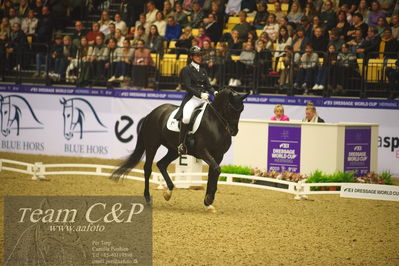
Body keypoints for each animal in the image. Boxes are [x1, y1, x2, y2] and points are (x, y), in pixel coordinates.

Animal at [112, 88, 248, 212]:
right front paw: (209, 199)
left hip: (173, 150)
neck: (215, 123)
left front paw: (208, 203)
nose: (233, 131)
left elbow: (213, 172)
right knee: (148, 169)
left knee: (161, 164)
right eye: (230, 108)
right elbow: (216, 170)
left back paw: (168, 192)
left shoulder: (219, 155)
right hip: (152, 145)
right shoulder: (203, 151)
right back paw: (148, 198)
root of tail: (153, 113)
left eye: (242, 109)